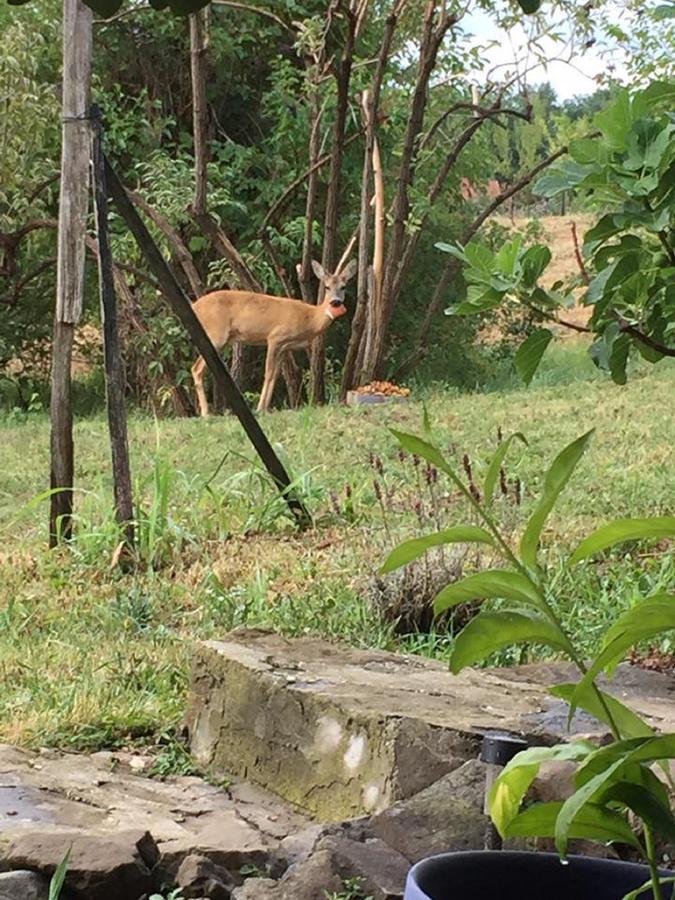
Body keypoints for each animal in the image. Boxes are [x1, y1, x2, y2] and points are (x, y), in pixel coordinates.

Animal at [190, 258, 360, 416]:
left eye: (343, 287)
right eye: (327, 287)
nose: (335, 302)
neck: (310, 318)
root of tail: (195, 306)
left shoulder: (285, 347)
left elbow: (275, 376)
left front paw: (266, 408)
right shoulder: (275, 337)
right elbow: (268, 373)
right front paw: (259, 408)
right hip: (216, 333)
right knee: (196, 368)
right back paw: (206, 413)